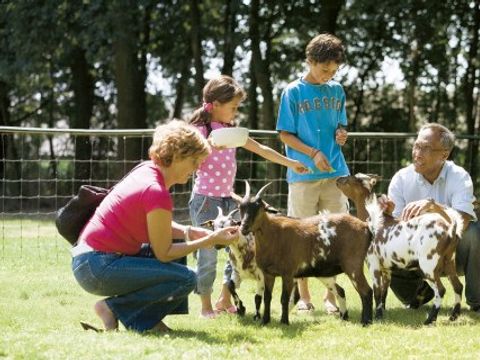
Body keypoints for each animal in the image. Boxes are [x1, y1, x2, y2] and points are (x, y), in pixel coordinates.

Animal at [231, 181, 374, 324]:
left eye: (259, 208)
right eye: (241, 207)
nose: (243, 227)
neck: (274, 234)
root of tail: (365, 226)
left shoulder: (288, 273)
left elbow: (284, 298)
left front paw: (284, 322)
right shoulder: (268, 274)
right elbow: (267, 297)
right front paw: (265, 321)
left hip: (353, 266)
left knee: (366, 291)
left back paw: (366, 321)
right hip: (325, 273)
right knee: (341, 290)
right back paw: (344, 316)